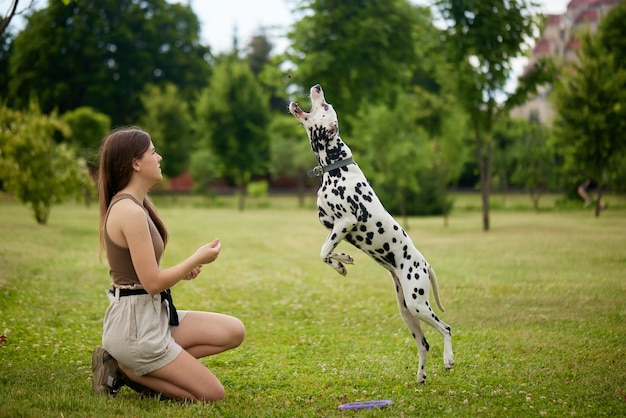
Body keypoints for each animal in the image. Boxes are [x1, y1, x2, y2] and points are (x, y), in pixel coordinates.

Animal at [288, 83, 454, 384]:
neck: (336, 168)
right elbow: (327, 251)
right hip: (407, 311)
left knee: (446, 328)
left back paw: (449, 359)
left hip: (418, 304)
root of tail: (425, 264)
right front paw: (344, 260)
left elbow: (322, 252)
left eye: (325, 106)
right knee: (424, 344)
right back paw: (421, 376)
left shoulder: (345, 222)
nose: (317, 87)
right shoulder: (331, 226)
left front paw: (341, 264)